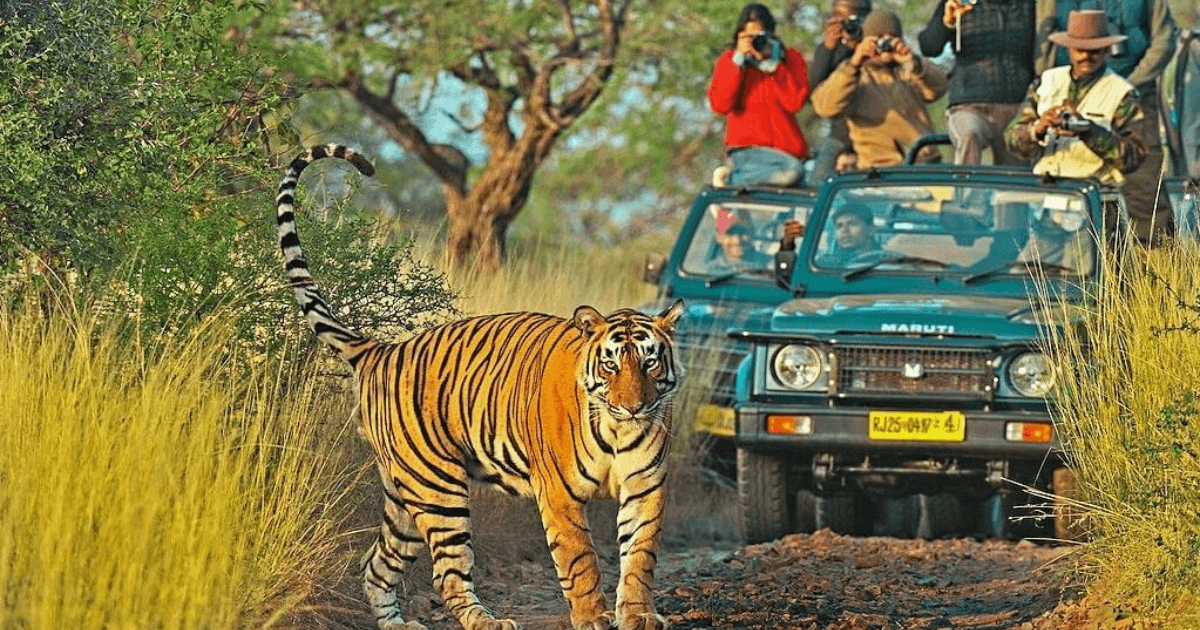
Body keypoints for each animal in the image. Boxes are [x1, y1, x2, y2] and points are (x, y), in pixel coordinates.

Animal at [274, 144, 684, 630]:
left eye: (650, 362)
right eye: (610, 366)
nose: (635, 407)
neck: (618, 430)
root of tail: (382, 350)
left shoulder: (646, 486)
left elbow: (640, 556)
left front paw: (640, 615)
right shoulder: (559, 494)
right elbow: (581, 559)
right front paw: (593, 617)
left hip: (404, 496)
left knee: (375, 564)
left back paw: (398, 623)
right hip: (438, 489)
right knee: (448, 574)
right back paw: (486, 621)